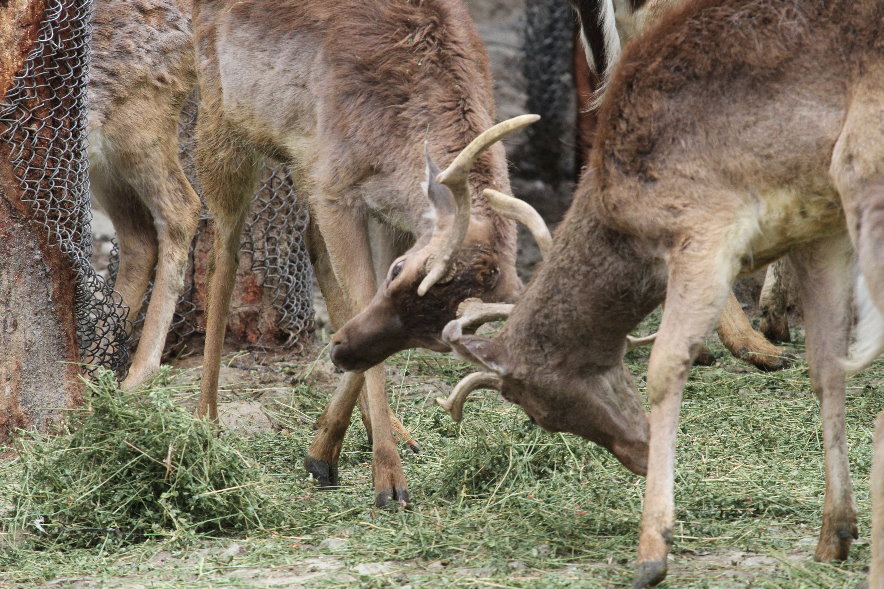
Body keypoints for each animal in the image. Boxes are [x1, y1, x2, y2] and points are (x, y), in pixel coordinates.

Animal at [190, 0, 551, 508]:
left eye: (437, 339)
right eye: (400, 272)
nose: (341, 352)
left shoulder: (387, 211)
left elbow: (358, 299)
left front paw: (324, 453)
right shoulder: (336, 186)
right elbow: (362, 296)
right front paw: (388, 481)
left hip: (299, 162)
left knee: (310, 245)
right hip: (223, 120)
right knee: (222, 246)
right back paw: (205, 423)